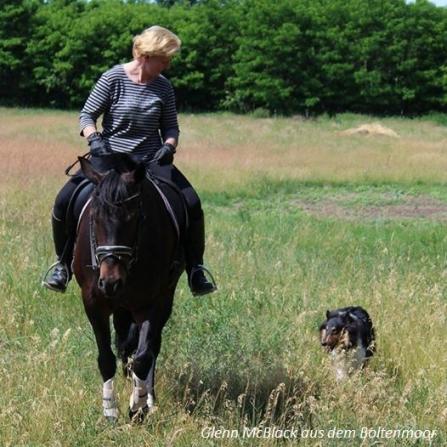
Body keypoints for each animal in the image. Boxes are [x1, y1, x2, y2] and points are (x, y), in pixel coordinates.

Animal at [73, 154, 186, 420]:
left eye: (134, 218)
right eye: (95, 216)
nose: (111, 282)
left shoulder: (153, 302)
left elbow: (144, 356)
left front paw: (137, 407)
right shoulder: (93, 302)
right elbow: (106, 357)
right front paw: (110, 410)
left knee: (150, 347)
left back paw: (147, 397)